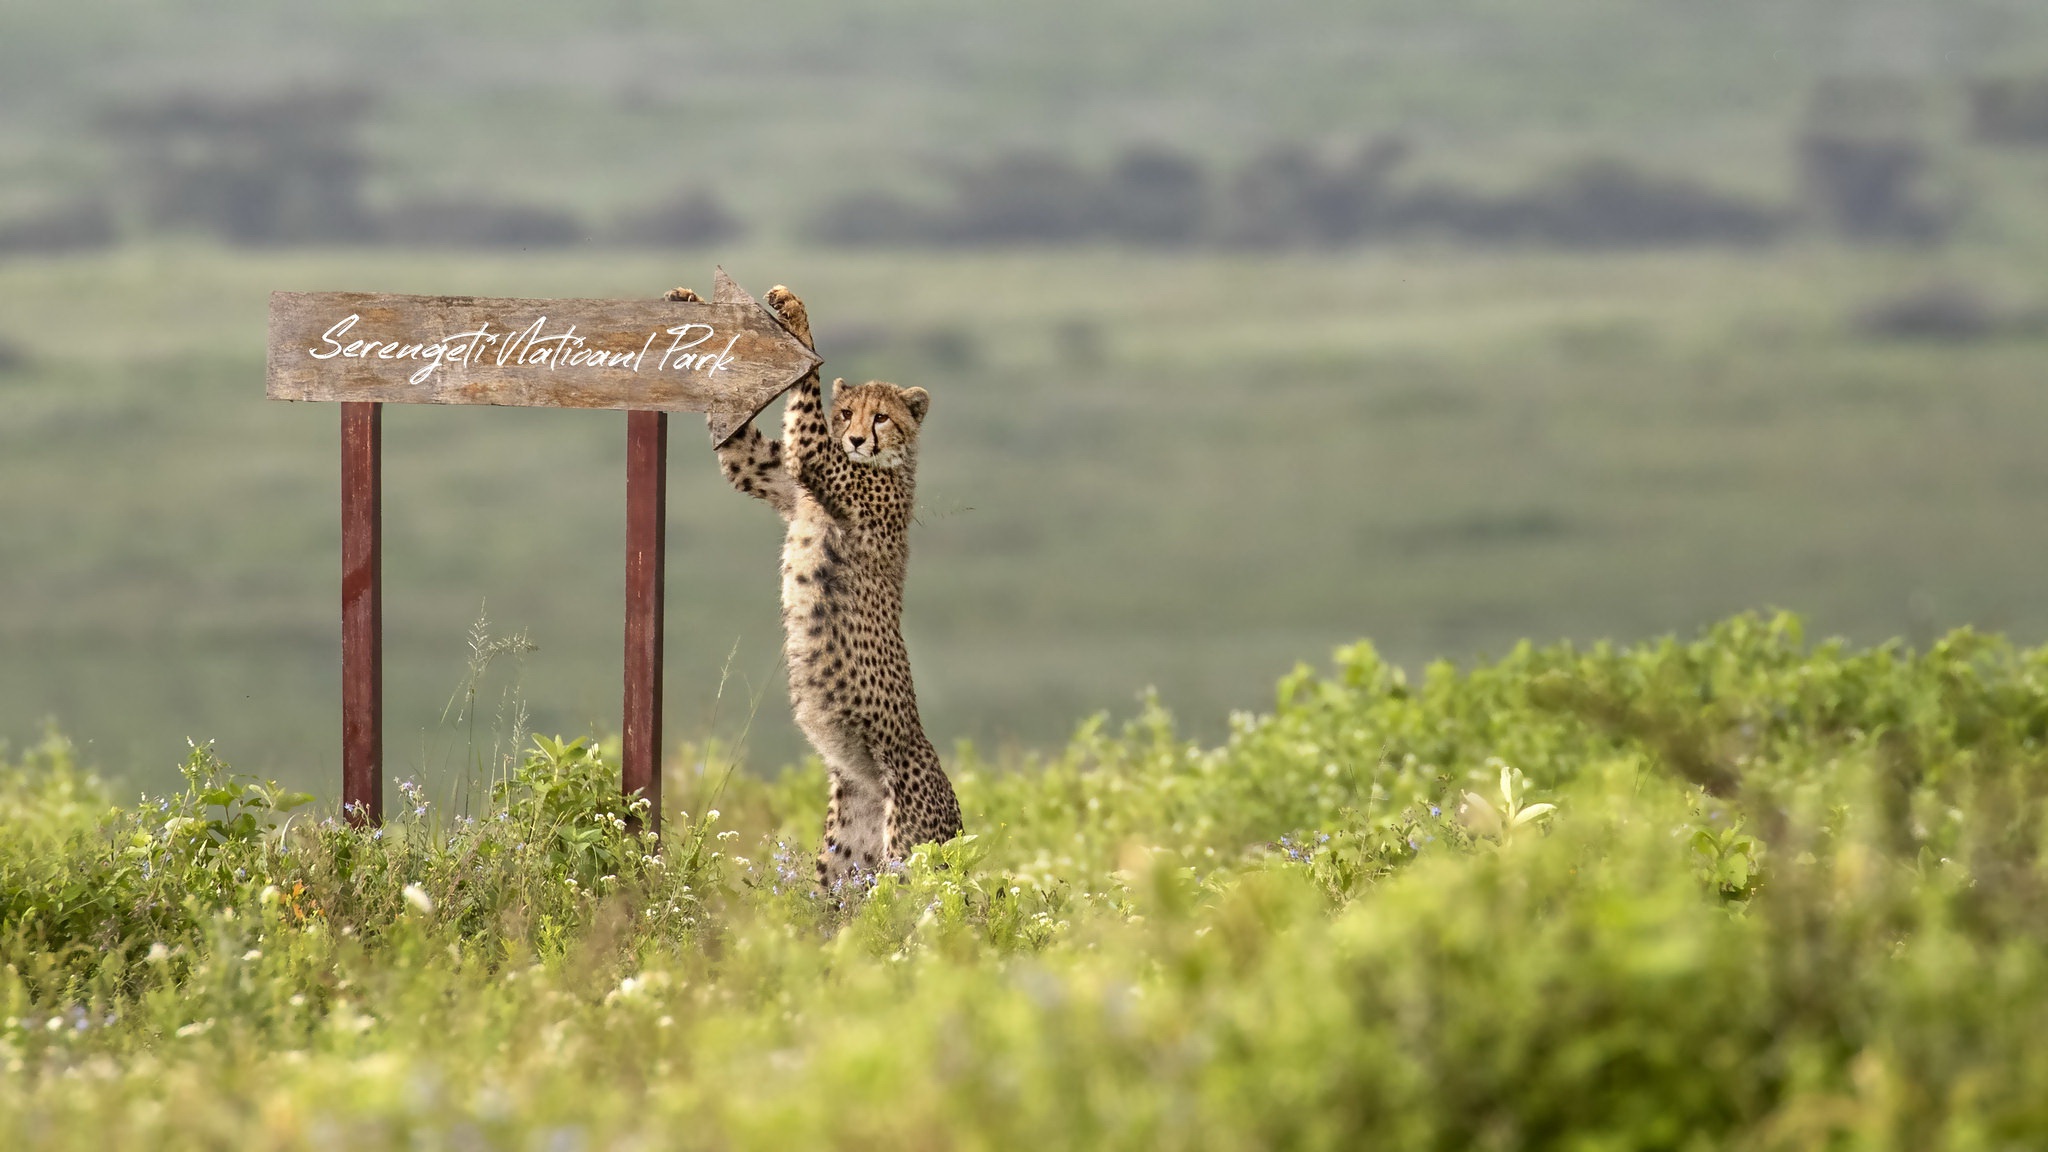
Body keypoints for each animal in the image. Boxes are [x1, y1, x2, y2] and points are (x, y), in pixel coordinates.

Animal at [667, 276, 962, 877]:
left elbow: (807, 387)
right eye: (846, 413)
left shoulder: (817, 460)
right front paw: (691, 305)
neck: (884, 465)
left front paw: (796, 316)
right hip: (844, 857)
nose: (855, 439)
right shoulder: (767, 471)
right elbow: (740, 439)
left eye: (881, 418)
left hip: (906, 856)